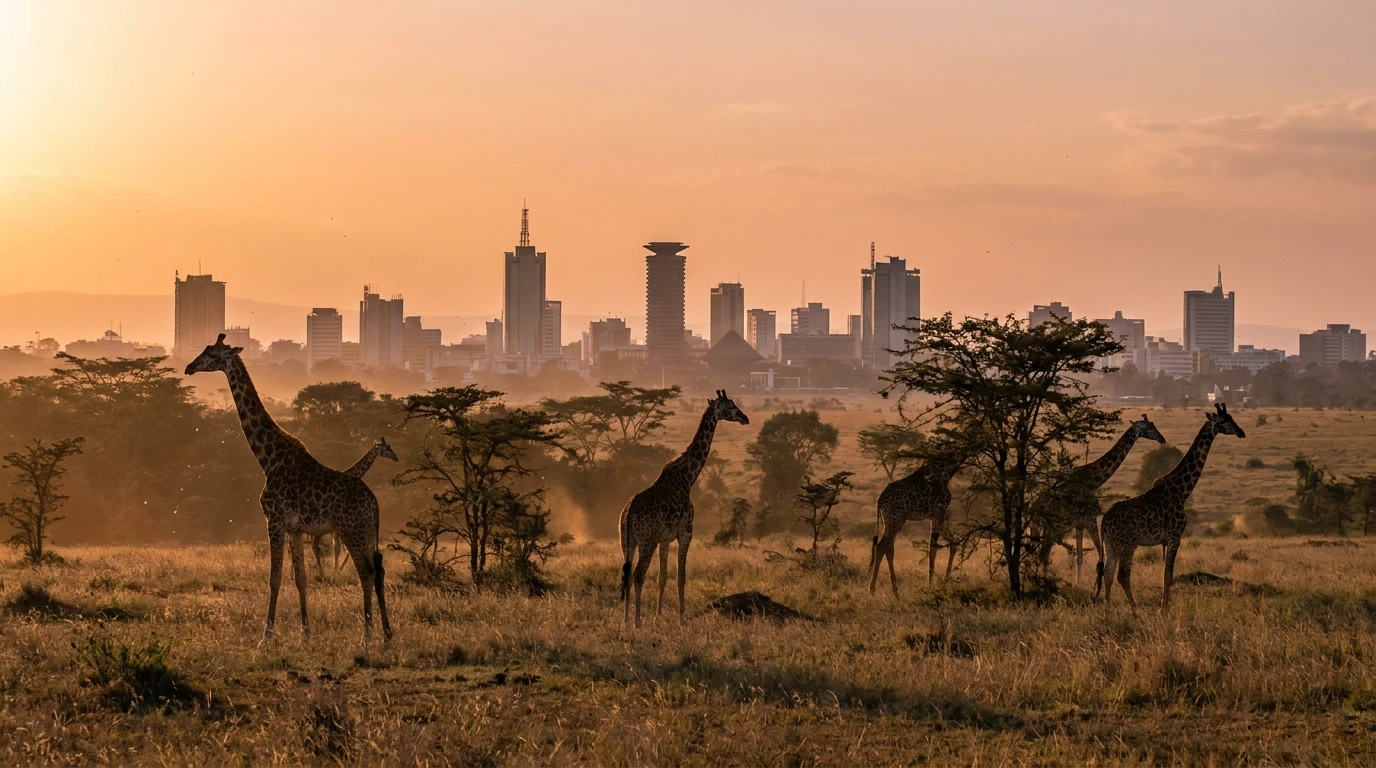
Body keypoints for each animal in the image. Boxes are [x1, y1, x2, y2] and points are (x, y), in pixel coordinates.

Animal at [311, 437, 399, 580]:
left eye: (389, 446)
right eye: (384, 448)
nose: (396, 458)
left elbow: (339, 548)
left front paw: (338, 570)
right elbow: (338, 548)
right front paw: (337, 571)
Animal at [619, 390, 749, 628]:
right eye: (730, 407)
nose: (745, 418)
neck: (688, 478)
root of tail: (628, 512)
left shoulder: (664, 539)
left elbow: (663, 577)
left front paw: (658, 616)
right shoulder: (686, 533)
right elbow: (681, 577)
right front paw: (682, 618)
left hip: (627, 542)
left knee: (626, 574)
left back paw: (625, 619)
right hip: (647, 541)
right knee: (638, 575)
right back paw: (637, 622)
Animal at [867, 455, 961, 595]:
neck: (946, 469)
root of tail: (880, 500)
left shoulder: (935, 515)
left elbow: (952, 543)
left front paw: (944, 580)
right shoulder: (939, 511)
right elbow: (933, 547)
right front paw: (931, 584)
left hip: (888, 522)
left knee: (889, 548)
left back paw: (896, 592)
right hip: (895, 520)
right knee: (881, 546)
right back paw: (872, 589)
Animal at [1034, 415, 1167, 583]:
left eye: (1153, 425)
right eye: (1147, 427)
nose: (1162, 439)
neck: (1092, 482)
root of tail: (1035, 509)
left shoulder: (1079, 524)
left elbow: (1080, 557)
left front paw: (1079, 584)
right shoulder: (1090, 519)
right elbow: (1099, 554)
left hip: (1046, 528)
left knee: (1040, 554)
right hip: (1053, 527)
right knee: (1042, 555)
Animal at [1098, 403, 1245, 610]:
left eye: (1232, 418)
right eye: (1224, 421)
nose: (1241, 432)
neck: (1182, 491)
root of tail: (1104, 522)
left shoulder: (1167, 539)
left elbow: (1166, 575)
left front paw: (1165, 607)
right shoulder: (1176, 535)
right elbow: (1168, 576)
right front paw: (1164, 610)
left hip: (1110, 544)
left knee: (1108, 574)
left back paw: (1108, 611)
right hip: (1127, 544)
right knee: (1122, 576)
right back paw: (1135, 611)